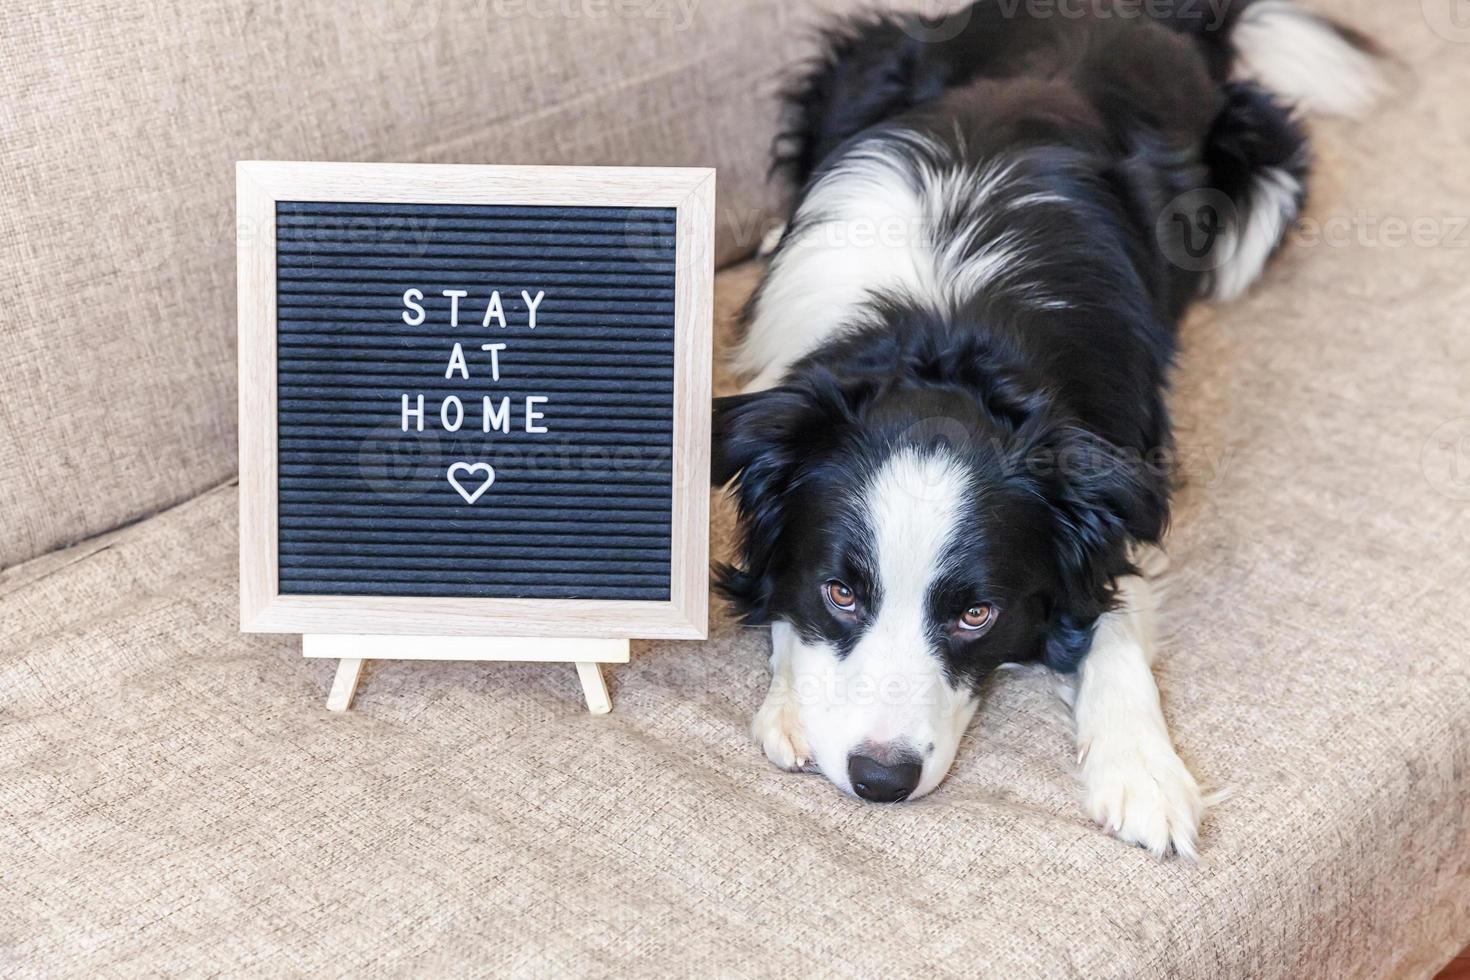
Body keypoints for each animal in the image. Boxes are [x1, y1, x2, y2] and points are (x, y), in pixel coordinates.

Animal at [711, 0, 1375, 858]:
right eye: (841, 592)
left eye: (976, 614)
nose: (881, 779)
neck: (944, 337)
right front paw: (793, 704)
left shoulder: (1116, 480)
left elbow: (1113, 616)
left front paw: (1144, 773)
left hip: (1259, 180)